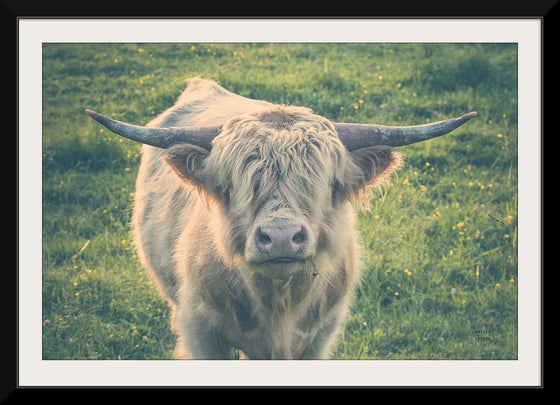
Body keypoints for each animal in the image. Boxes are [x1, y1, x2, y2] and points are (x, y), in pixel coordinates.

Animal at [87, 77, 476, 358]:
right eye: (234, 184)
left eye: (326, 183)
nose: (280, 238)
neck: (278, 306)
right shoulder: (200, 331)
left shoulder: (320, 336)